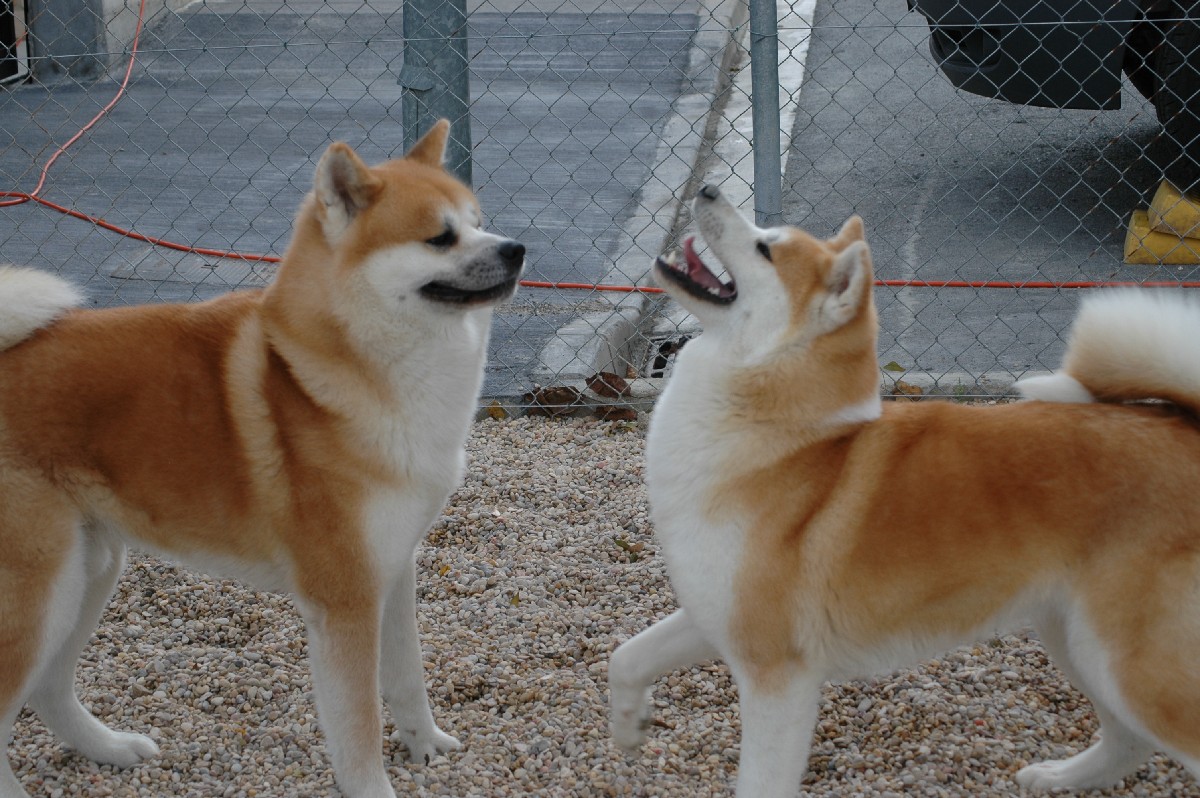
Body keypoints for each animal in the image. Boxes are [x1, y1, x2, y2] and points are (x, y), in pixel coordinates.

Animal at [0, 120, 524, 798]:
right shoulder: (345, 600)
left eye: (480, 221)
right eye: (440, 235)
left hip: (88, 570)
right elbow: (359, 728)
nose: (516, 249)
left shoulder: (393, 567)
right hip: (41, 589)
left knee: (47, 689)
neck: (340, 370)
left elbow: (408, 678)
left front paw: (426, 745)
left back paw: (110, 748)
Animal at [609, 183, 1200, 797]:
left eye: (765, 248)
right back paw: (1057, 777)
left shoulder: (777, 672)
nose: (707, 189)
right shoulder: (715, 617)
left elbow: (760, 782)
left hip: (1131, 664)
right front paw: (629, 726)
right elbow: (625, 658)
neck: (780, 439)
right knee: (1129, 742)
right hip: (1079, 641)